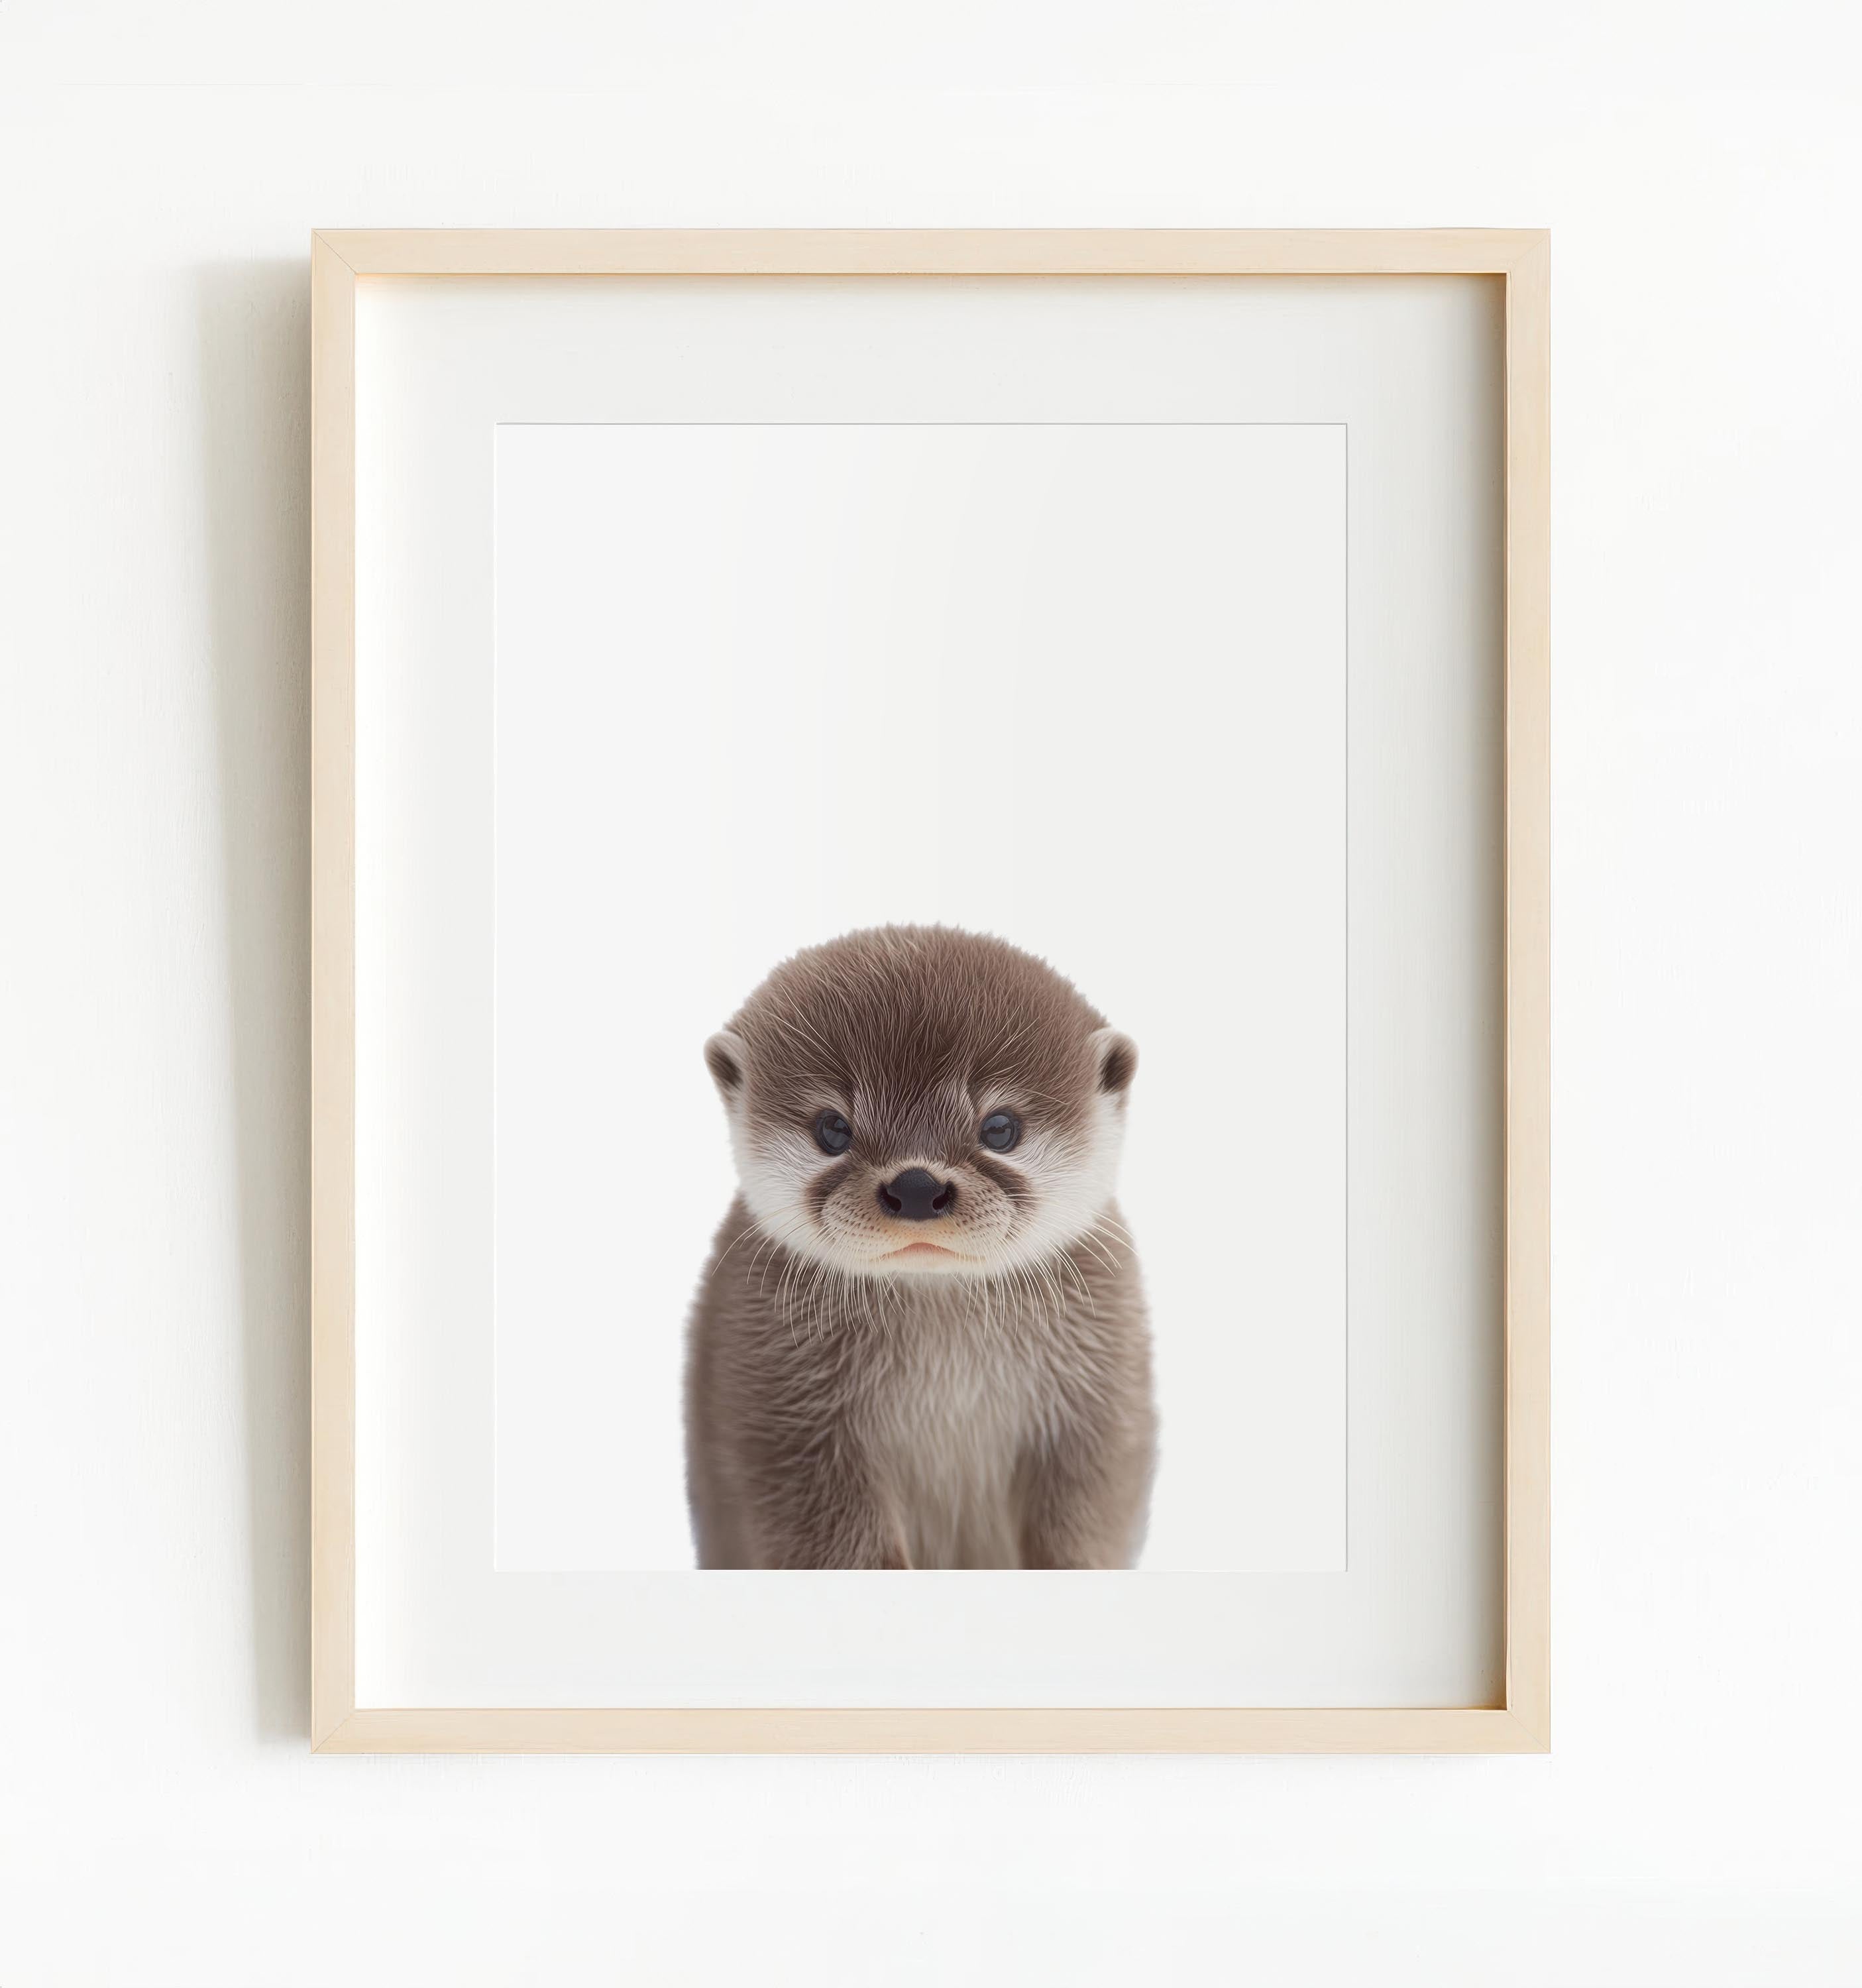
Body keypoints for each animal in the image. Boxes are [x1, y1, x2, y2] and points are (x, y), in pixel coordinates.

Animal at [684, 924, 1155, 1570]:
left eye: (1000, 1129)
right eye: (832, 1129)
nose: (915, 1186)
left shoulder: (1100, 1404)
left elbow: (1087, 1516)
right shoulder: (780, 1416)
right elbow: (834, 1538)